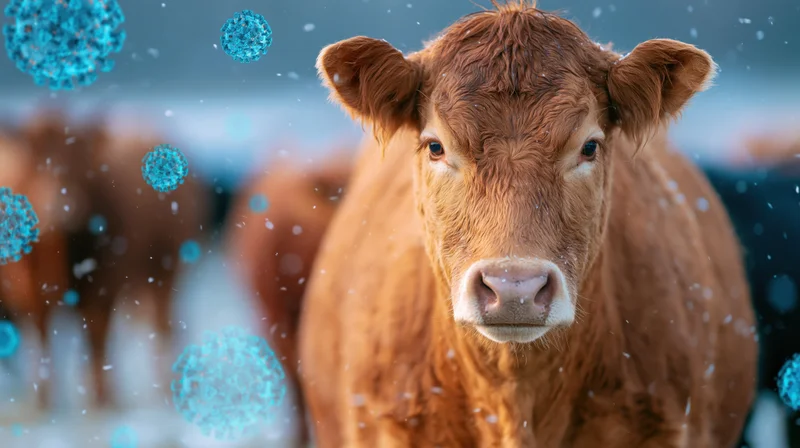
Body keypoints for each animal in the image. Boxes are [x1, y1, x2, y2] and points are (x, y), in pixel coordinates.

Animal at [0, 112, 209, 410]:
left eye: (78, 157)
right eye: (36, 157)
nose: (63, 204)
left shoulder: (103, 287)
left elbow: (96, 339)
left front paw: (101, 399)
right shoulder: (30, 292)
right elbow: (42, 340)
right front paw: (43, 400)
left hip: (164, 272)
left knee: (163, 326)